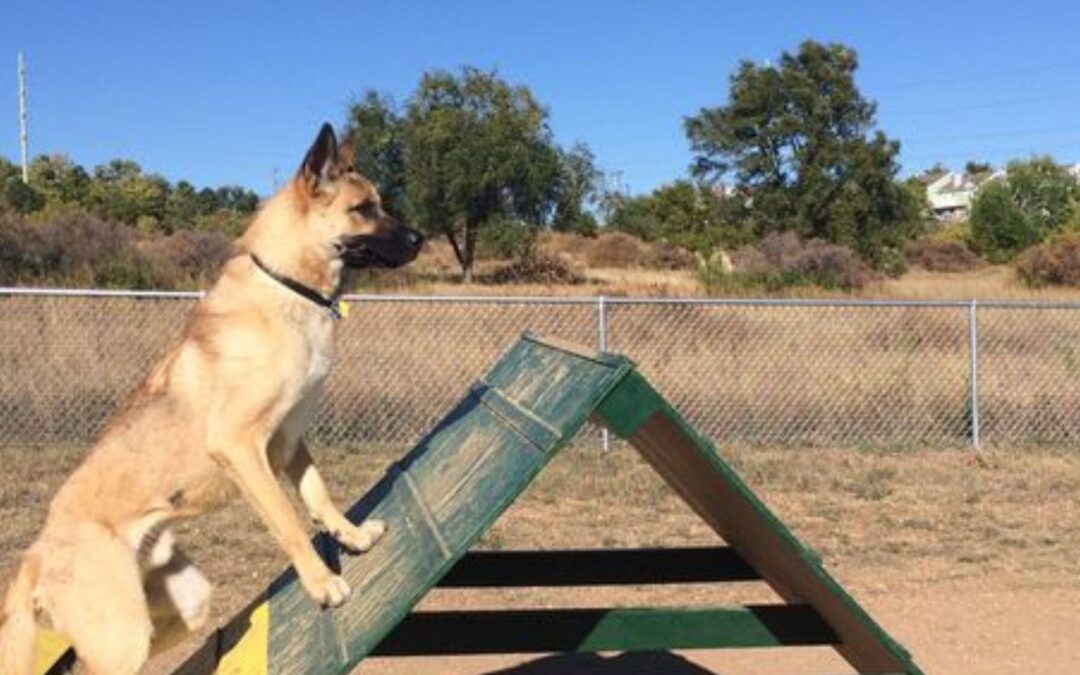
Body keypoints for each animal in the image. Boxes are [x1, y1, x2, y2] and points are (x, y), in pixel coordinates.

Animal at [0, 123, 421, 669]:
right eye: (363, 209)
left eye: (378, 204)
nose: (420, 239)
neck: (288, 287)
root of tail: (35, 553)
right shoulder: (240, 446)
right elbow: (288, 519)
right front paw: (323, 584)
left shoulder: (290, 439)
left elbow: (318, 495)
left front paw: (352, 537)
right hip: (121, 635)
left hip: (182, 604)